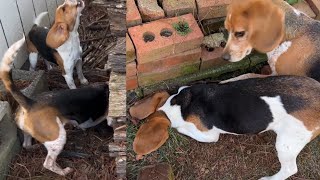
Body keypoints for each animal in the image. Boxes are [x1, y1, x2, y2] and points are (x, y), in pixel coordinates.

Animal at [0, 36, 111, 174]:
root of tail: (30, 102)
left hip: (29, 132)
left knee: (26, 145)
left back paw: (35, 147)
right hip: (58, 138)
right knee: (48, 163)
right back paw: (64, 171)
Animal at [130, 76, 320, 180]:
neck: (179, 104)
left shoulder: (208, 135)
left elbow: (183, 129)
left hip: (287, 143)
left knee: (289, 169)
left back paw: (268, 179)